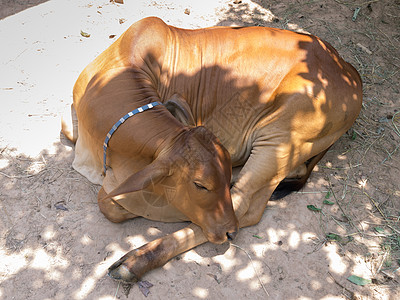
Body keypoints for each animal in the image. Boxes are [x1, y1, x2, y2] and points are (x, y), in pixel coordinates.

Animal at [61, 17, 362, 282]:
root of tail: (349, 70)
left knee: (245, 206)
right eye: (200, 185)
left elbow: (109, 201)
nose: (229, 232)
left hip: (280, 137)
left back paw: (135, 262)